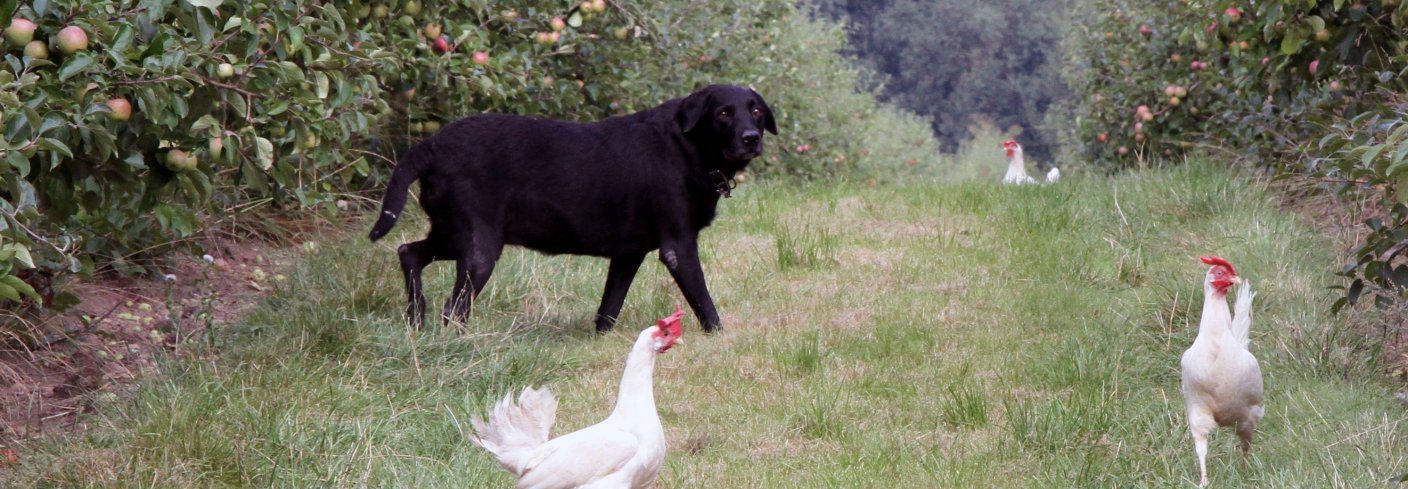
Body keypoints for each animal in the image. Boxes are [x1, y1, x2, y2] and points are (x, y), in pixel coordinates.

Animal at [368, 84, 777, 333]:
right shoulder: (678, 246)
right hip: (480, 247)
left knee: (408, 252)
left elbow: (608, 308)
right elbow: (705, 305)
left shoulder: (628, 254)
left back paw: (416, 321)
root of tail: (433, 145)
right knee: (453, 308)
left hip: (453, 234)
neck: (686, 146)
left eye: (756, 110)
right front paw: (719, 338)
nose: (751, 139)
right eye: (723, 113)